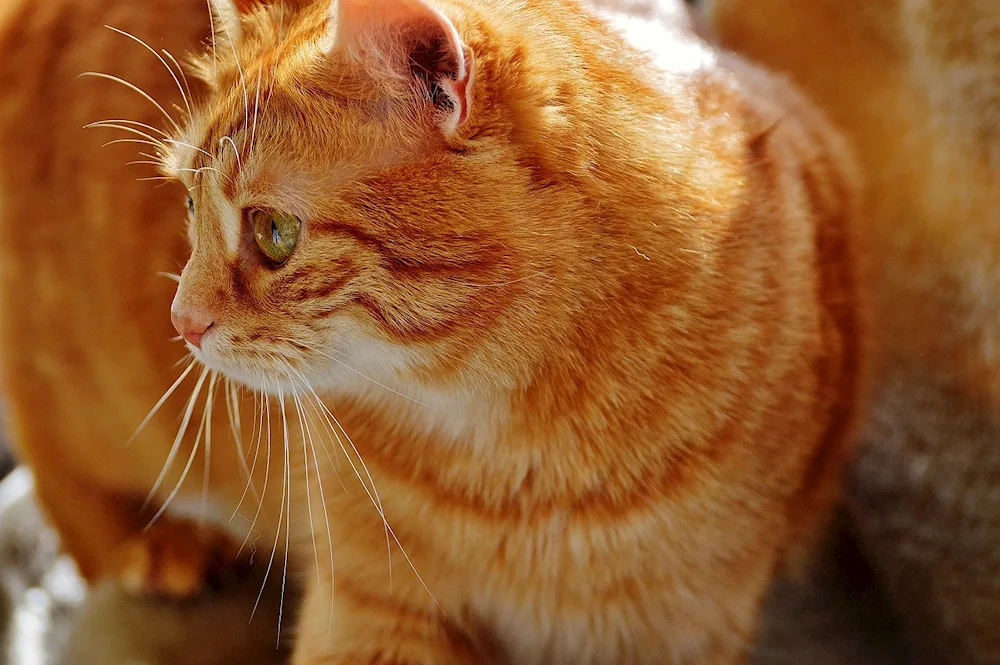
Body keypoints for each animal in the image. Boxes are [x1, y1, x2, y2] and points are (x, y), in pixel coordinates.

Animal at [0, 0, 864, 660]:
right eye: (185, 204)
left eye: (274, 232)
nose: (182, 319)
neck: (524, 463)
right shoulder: (372, 610)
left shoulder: (682, 626)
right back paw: (160, 546)